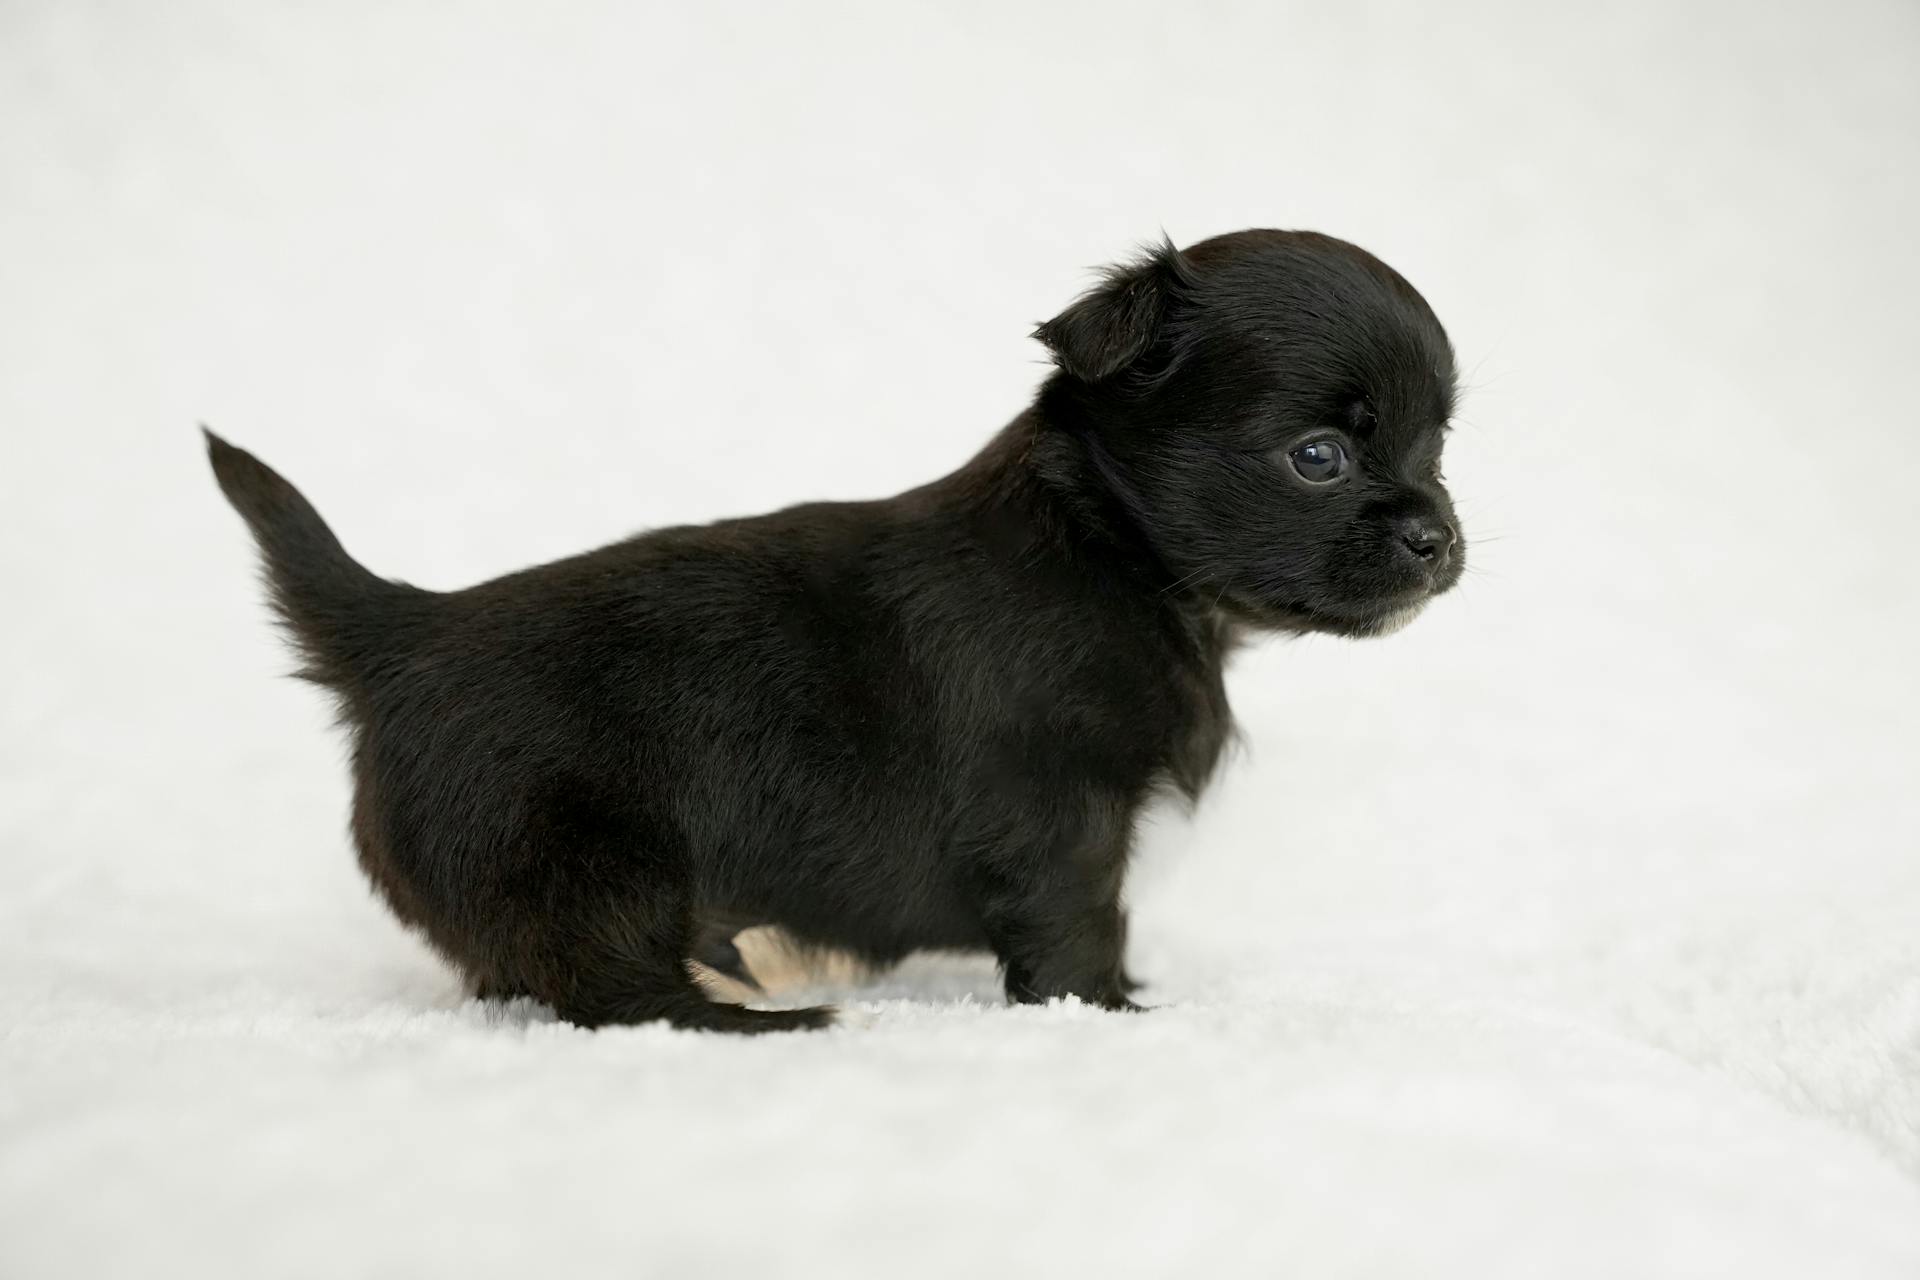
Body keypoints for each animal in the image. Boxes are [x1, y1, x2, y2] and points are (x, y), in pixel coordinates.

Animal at [210, 227, 1459, 1028]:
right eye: (1318, 456)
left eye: (1437, 443)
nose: (1439, 536)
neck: (1111, 546)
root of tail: (403, 632)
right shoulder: (1056, 812)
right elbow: (1077, 922)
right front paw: (1108, 1012)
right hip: (586, 860)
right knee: (608, 991)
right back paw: (764, 1018)